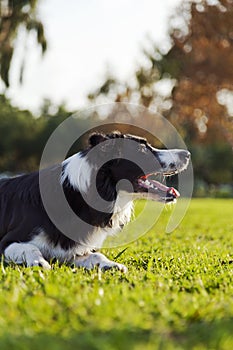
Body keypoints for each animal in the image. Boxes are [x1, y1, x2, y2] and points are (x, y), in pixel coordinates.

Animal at [0, 131, 189, 270]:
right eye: (143, 150)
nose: (187, 154)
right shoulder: (7, 241)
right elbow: (30, 248)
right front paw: (38, 262)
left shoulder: (74, 249)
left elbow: (96, 254)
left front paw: (110, 265)